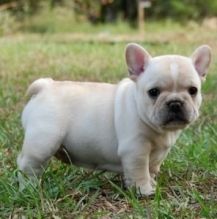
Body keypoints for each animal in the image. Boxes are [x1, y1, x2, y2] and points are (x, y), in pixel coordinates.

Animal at [17, 43, 211, 196]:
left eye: (193, 90)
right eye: (153, 92)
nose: (175, 103)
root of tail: (45, 86)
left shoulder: (156, 156)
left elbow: (151, 169)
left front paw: (152, 183)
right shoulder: (135, 150)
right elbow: (140, 171)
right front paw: (144, 191)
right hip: (43, 142)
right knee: (28, 164)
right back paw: (29, 187)